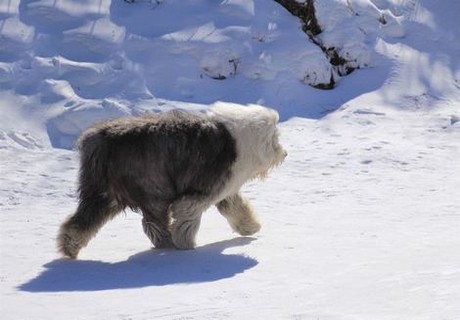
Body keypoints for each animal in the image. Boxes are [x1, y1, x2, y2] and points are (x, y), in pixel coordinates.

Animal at [57, 102, 286, 258]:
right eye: (276, 139)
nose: (285, 154)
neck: (238, 140)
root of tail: (98, 140)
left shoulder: (223, 189)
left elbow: (236, 207)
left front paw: (251, 227)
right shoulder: (202, 191)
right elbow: (187, 214)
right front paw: (186, 243)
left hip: (104, 194)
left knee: (83, 221)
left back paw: (69, 246)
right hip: (152, 187)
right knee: (152, 223)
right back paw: (168, 243)